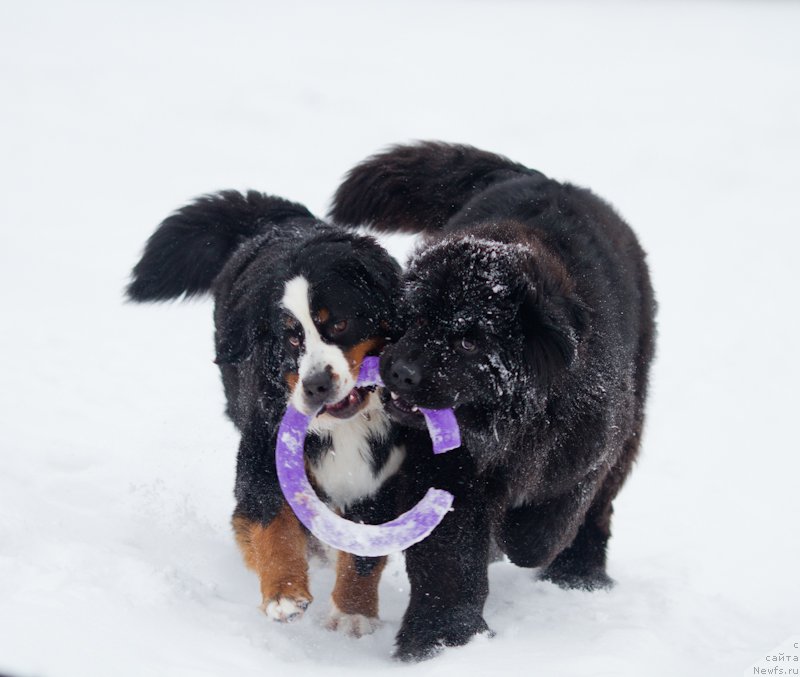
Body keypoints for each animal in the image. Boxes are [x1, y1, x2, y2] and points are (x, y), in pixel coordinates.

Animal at [130, 190, 410, 632]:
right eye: (292, 338)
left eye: (340, 324)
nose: (316, 385)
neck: (343, 426)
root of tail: (279, 219)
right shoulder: (263, 452)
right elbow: (272, 524)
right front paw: (285, 593)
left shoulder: (383, 475)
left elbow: (364, 552)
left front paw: (353, 612)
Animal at [332, 144, 656, 660]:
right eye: (414, 317)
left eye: (468, 342)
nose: (401, 370)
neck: (507, 425)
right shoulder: (444, 471)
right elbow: (449, 560)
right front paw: (440, 640)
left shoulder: (587, 447)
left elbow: (544, 526)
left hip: (630, 421)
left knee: (597, 510)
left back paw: (580, 574)